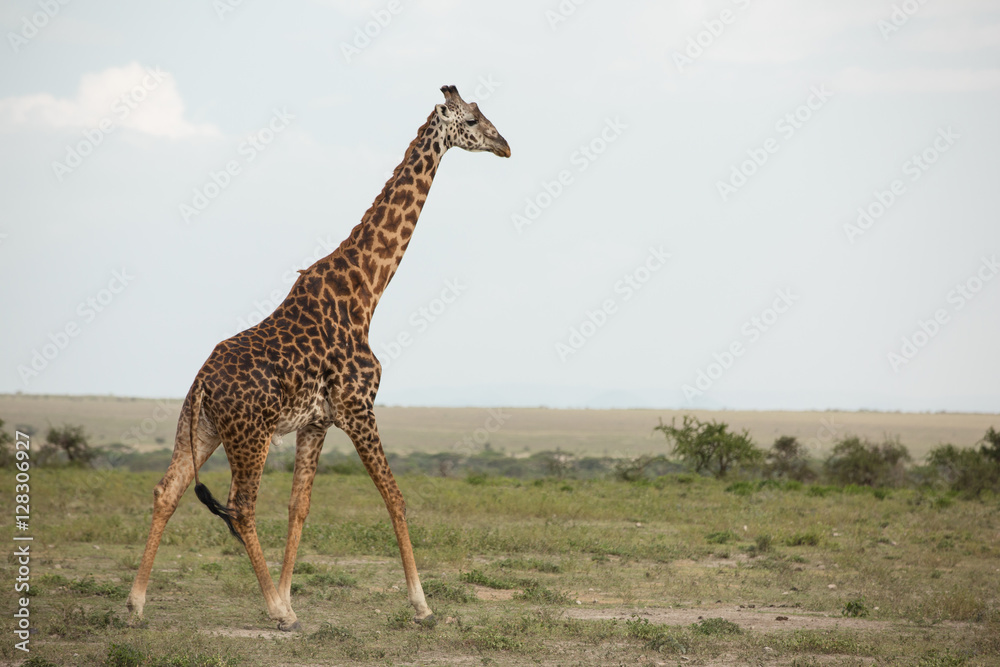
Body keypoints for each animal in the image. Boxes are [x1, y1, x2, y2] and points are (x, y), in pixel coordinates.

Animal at [126, 85, 510, 631]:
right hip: (250, 435)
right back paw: (273, 611)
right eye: (472, 120)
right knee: (240, 506)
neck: (366, 291)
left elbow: (299, 506)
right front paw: (421, 604)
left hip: (201, 428)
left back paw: (136, 603)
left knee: (168, 490)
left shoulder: (317, 421)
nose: (506, 145)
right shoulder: (358, 407)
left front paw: (291, 596)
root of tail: (201, 382)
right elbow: (395, 497)